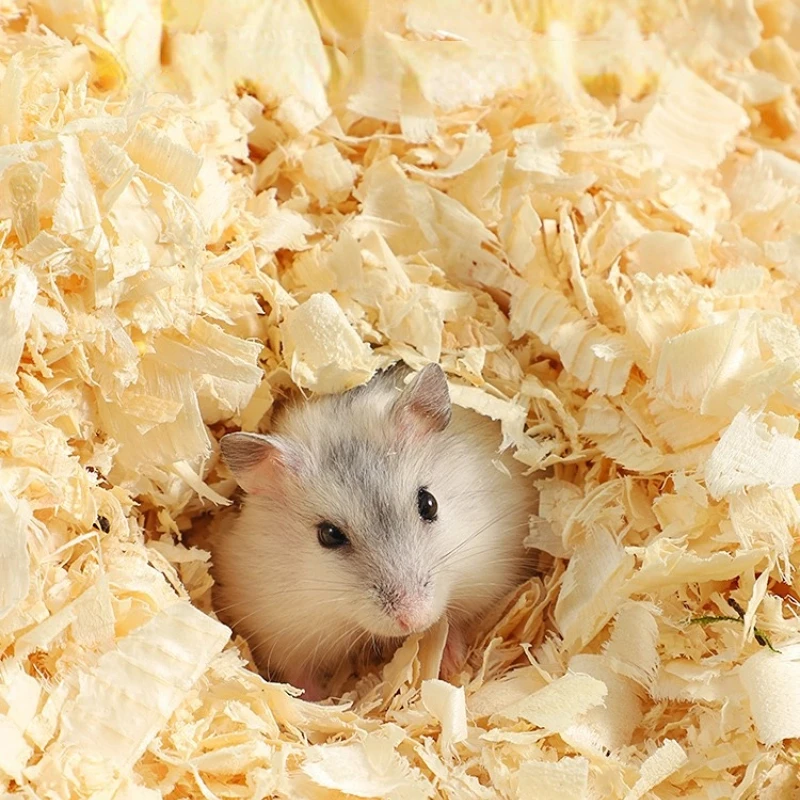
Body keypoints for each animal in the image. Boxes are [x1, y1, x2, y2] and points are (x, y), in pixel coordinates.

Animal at [211, 363, 540, 701]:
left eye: (429, 503)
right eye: (329, 534)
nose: (413, 619)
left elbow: (454, 620)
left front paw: (451, 665)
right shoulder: (279, 627)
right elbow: (298, 674)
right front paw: (319, 701)